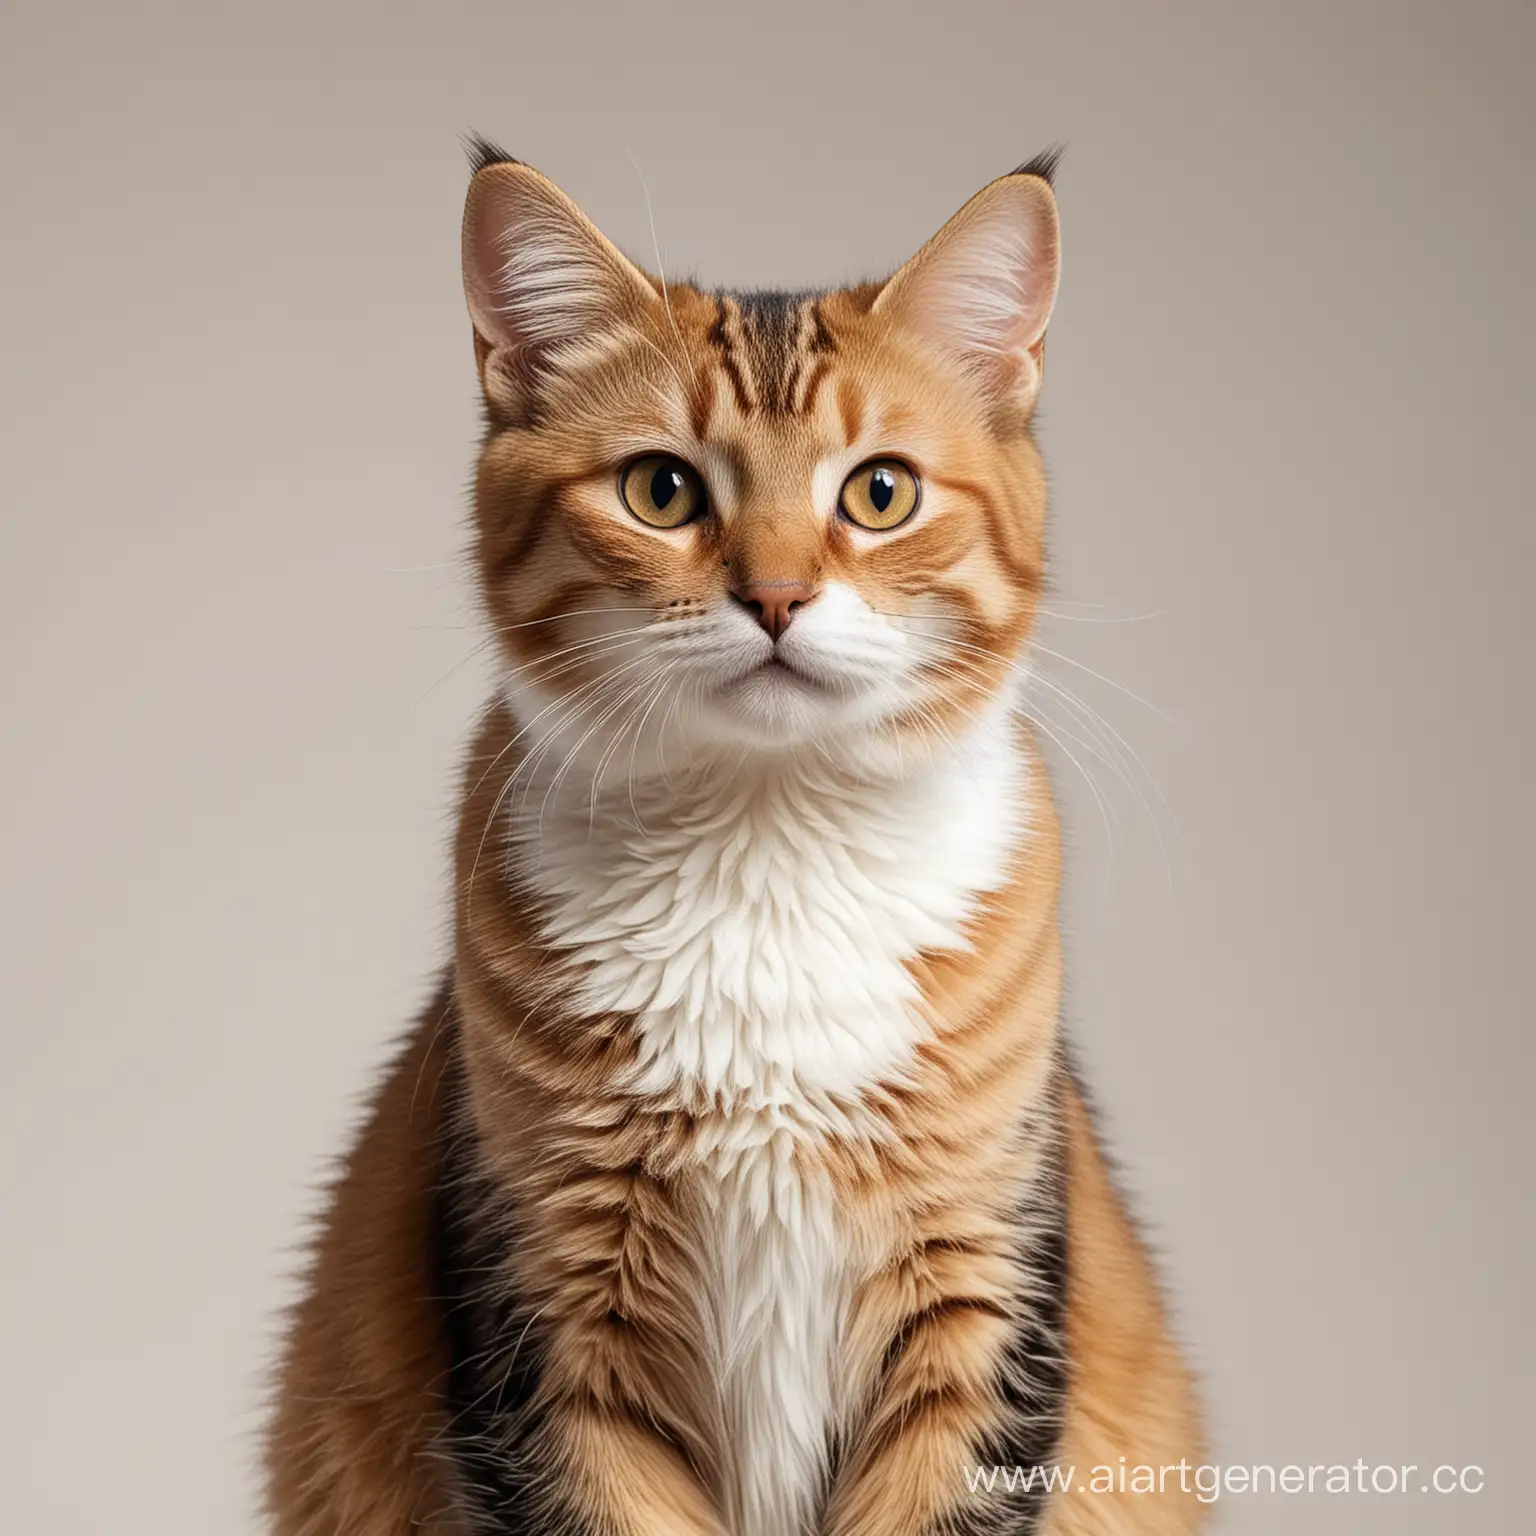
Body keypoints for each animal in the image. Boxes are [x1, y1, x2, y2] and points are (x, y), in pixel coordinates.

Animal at [264, 138, 1204, 1529]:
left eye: (880, 493)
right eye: (662, 490)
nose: (776, 595)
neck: (768, 854)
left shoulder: (979, 1301)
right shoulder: (547, 1321)